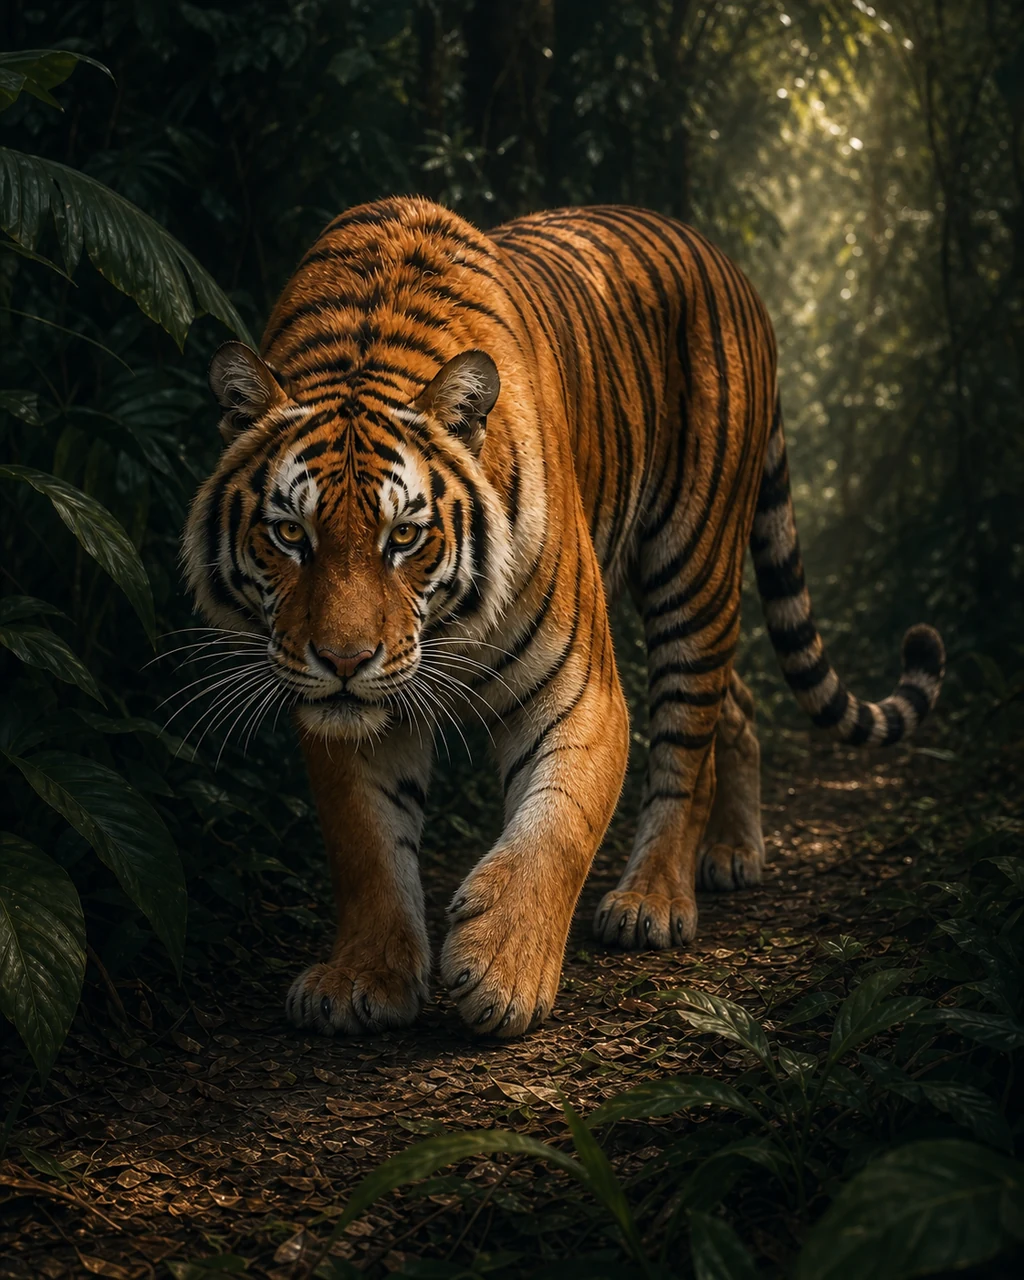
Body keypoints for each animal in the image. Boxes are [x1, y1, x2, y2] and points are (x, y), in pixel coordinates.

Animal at [183, 196, 945, 1039]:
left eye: (403, 537)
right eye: (291, 534)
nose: (343, 660)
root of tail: (724, 260)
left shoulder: (580, 689)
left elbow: (558, 826)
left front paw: (502, 969)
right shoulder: (351, 715)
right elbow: (367, 845)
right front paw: (363, 978)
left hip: (695, 564)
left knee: (688, 737)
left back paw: (653, 899)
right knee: (735, 701)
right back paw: (733, 853)